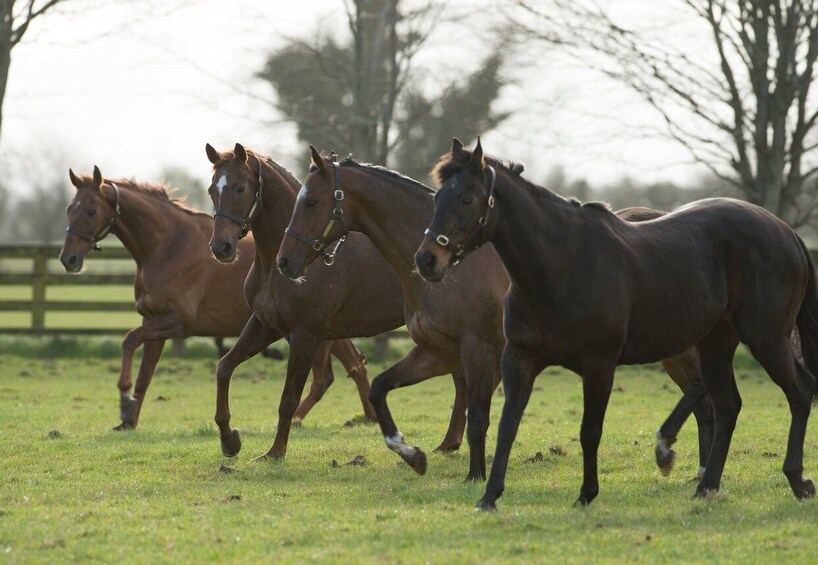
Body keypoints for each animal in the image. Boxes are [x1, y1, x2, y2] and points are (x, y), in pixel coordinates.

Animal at [58, 165, 372, 430]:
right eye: (69, 209)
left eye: (90, 210)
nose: (68, 259)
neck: (168, 246)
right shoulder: (153, 322)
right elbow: (144, 375)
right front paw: (128, 420)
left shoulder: (176, 323)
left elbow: (128, 340)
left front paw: (124, 400)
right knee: (345, 369)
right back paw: (363, 417)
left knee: (336, 373)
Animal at [204, 142, 472, 462]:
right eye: (212, 189)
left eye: (241, 188)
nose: (221, 247)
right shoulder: (265, 325)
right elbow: (225, 367)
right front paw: (230, 440)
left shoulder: (305, 334)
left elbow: (288, 398)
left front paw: (275, 452)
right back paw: (449, 442)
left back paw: (450, 441)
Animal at [272, 147, 708, 480]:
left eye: (311, 201)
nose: (284, 261)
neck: (455, 268)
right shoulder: (437, 353)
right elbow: (380, 388)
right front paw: (414, 456)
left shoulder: (479, 351)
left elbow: (478, 416)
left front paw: (475, 475)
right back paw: (700, 475)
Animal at [418, 139, 812, 508]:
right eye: (437, 197)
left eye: (467, 199)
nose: (427, 260)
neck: (562, 265)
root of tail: (787, 232)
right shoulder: (519, 359)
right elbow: (507, 426)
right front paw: (489, 497)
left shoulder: (599, 365)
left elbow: (590, 431)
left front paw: (586, 494)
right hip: (716, 342)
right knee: (729, 406)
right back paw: (706, 487)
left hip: (766, 339)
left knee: (800, 394)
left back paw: (797, 480)